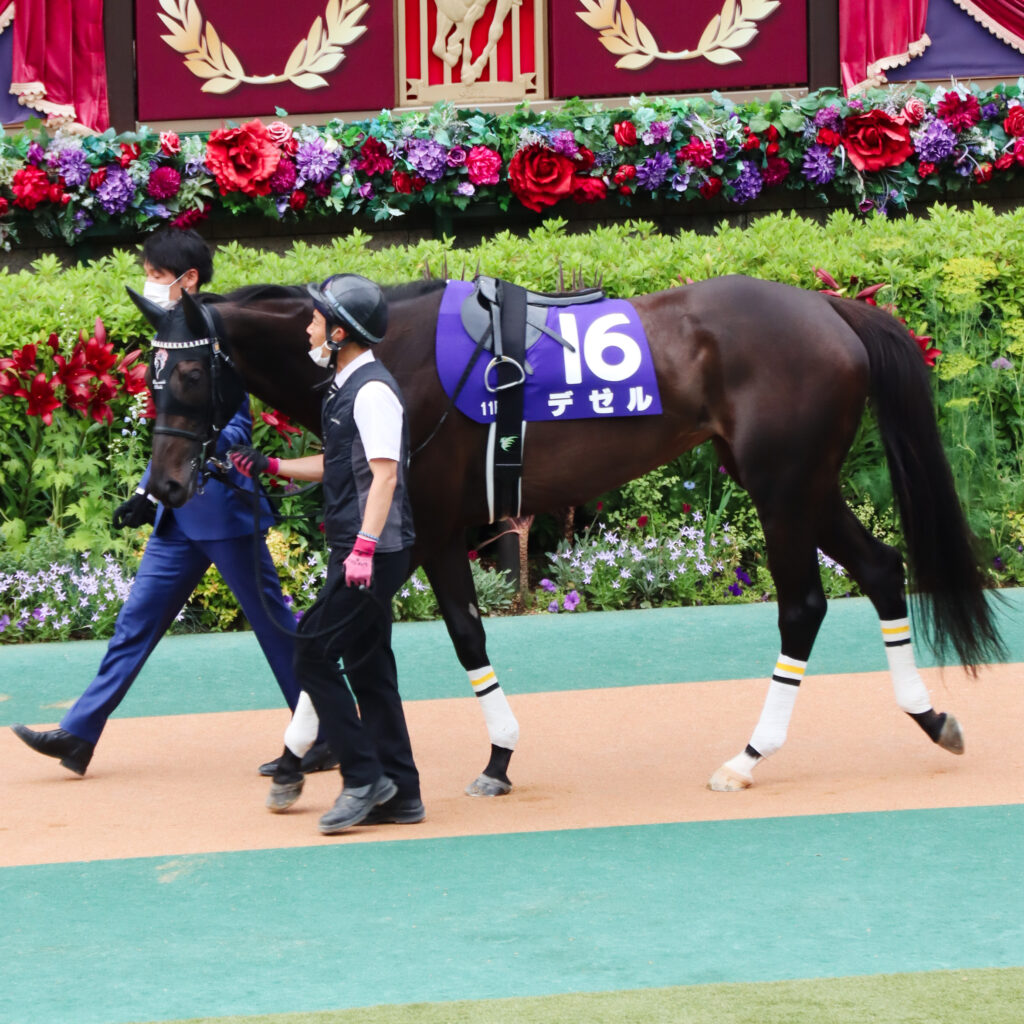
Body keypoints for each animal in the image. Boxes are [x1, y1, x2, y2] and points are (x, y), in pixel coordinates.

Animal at [129, 273, 1004, 797]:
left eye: (193, 373)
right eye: (150, 376)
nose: (164, 487)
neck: (389, 357)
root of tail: (828, 307)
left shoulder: (427, 530)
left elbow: (440, 632)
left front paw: (494, 754)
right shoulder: (421, 534)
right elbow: (367, 627)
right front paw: (300, 751)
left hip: (783, 485)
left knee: (804, 606)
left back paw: (749, 756)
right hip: (803, 483)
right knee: (882, 569)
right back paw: (931, 717)